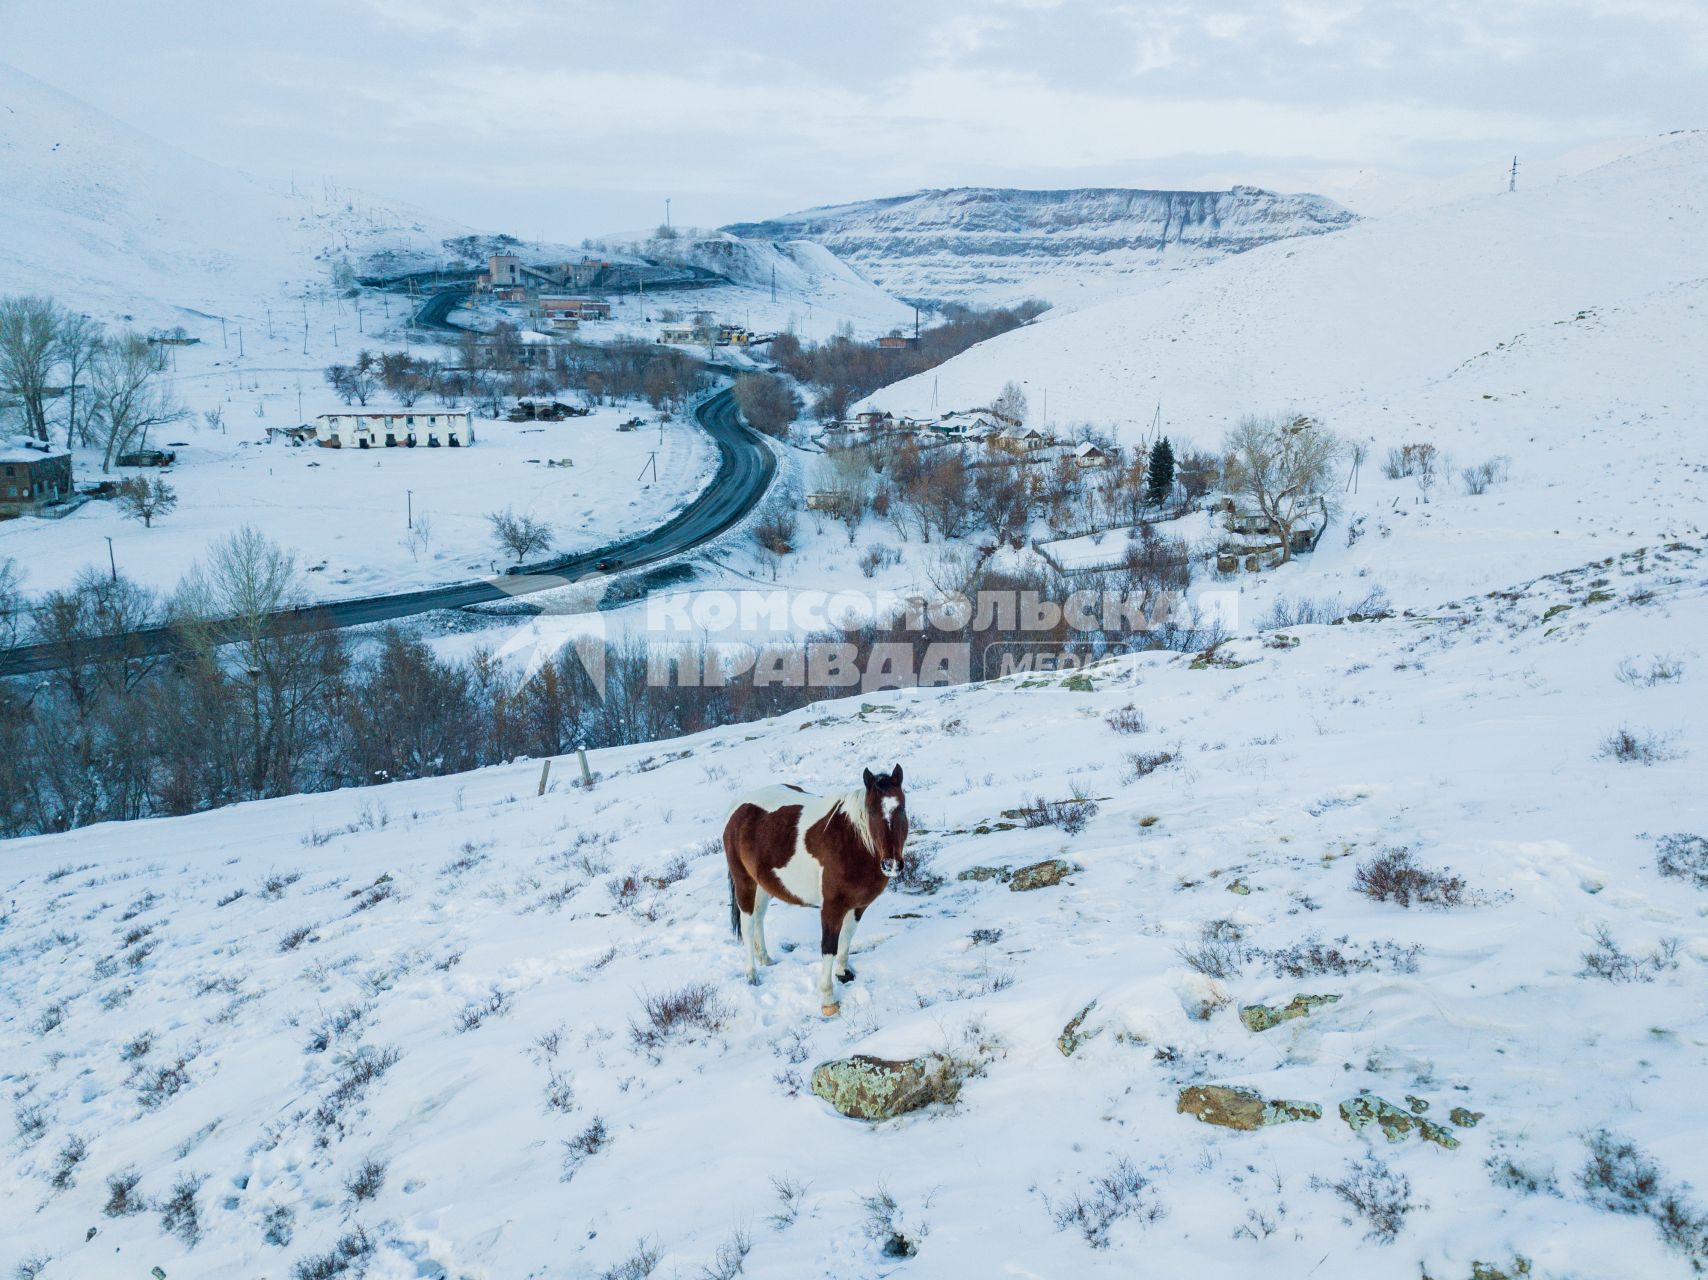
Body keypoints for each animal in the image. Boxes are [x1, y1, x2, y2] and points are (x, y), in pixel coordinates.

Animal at [720, 758, 908, 1018]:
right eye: (871, 811)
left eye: (901, 808)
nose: (891, 864)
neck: (853, 842)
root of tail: (739, 806)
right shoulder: (831, 908)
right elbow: (829, 947)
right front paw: (828, 1000)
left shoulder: (858, 906)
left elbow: (847, 937)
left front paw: (843, 973)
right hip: (744, 882)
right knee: (748, 926)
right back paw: (752, 974)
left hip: (764, 885)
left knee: (758, 918)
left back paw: (766, 959)